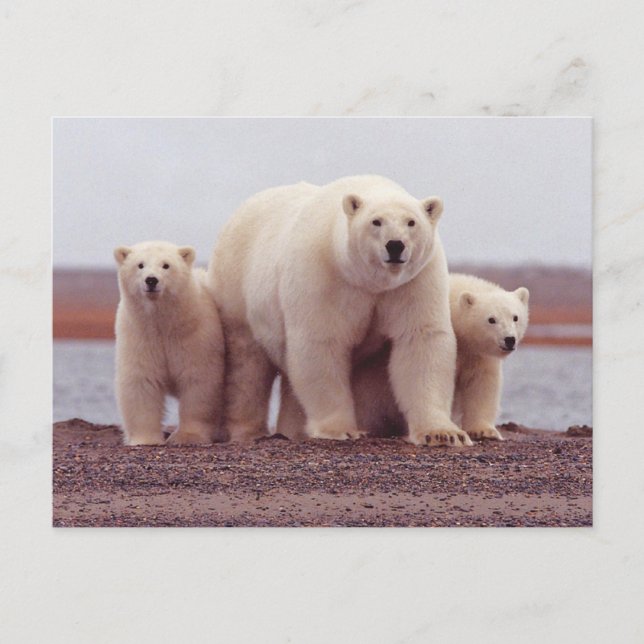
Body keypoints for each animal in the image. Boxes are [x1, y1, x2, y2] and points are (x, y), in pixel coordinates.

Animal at [113, 240, 225, 446]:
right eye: (140, 265)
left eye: (166, 265)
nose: (151, 280)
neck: (164, 324)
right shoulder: (140, 336)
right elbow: (142, 381)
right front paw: (145, 439)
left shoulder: (195, 336)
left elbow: (198, 380)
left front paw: (187, 436)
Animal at [209, 175, 472, 447]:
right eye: (376, 221)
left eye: (411, 222)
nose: (395, 245)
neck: (369, 281)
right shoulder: (324, 275)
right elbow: (322, 343)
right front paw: (341, 429)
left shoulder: (414, 281)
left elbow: (420, 339)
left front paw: (443, 433)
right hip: (237, 288)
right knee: (247, 366)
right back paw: (248, 431)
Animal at [278, 273, 530, 442]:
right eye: (491, 319)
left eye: (515, 317)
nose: (509, 340)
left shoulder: (476, 354)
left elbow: (481, 383)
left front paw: (484, 430)